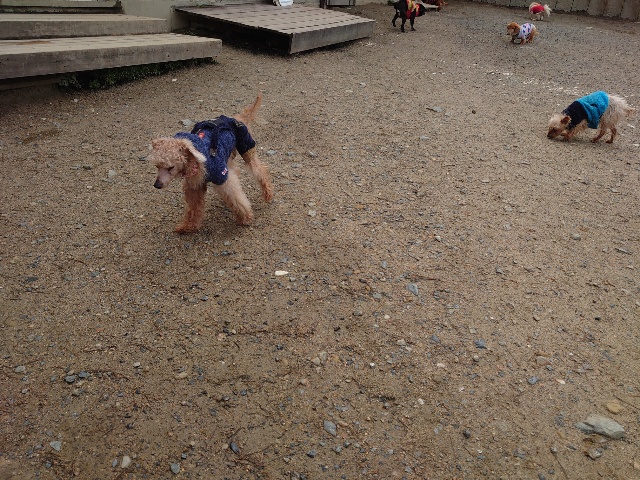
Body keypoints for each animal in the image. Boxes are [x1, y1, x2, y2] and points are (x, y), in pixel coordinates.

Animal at [149, 94, 273, 233]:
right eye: (157, 166)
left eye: (170, 167)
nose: (157, 185)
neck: (197, 160)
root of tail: (237, 117)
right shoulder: (195, 185)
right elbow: (193, 207)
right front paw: (188, 226)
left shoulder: (223, 177)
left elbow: (236, 197)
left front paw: (245, 217)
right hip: (228, 156)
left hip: (246, 148)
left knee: (260, 170)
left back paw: (267, 193)